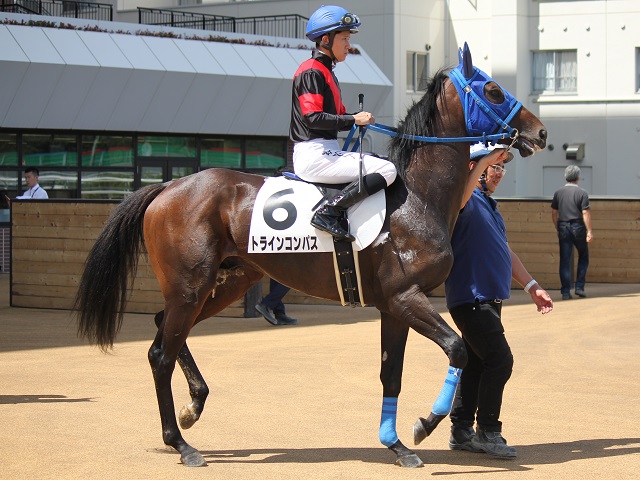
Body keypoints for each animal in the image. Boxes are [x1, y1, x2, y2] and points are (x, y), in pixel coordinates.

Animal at [75, 44, 546, 468]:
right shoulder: (406, 298)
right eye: (494, 90)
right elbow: (458, 350)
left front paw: (395, 444)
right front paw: (423, 425)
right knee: (160, 354)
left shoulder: (393, 307)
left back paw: (194, 407)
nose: (540, 132)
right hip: (191, 287)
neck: (415, 198)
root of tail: (168, 187)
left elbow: (390, 374)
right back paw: (180, 443)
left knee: (165, 332)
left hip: (225, 283)